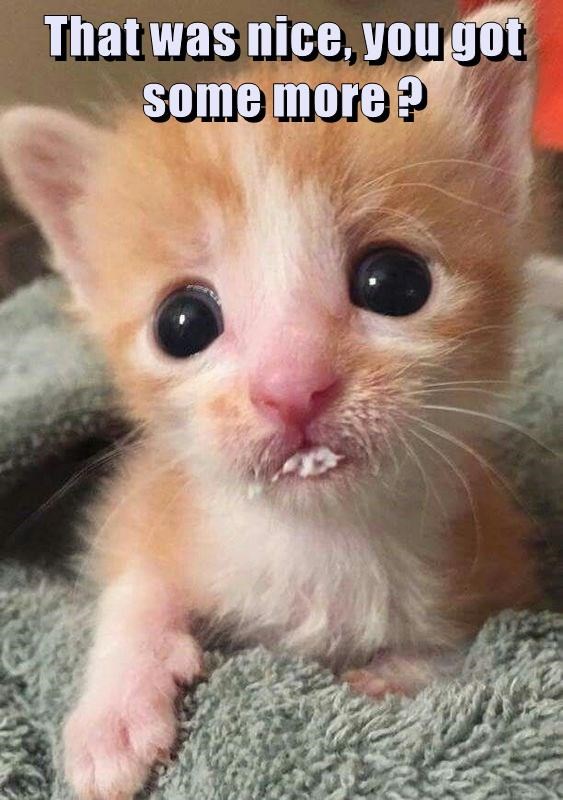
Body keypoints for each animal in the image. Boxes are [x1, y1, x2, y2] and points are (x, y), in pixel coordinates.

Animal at [0, 3, 541, 798]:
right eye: (182, 323)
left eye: (395, 283)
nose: (291, 387)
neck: (320, 544)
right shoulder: (146, 498)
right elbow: (134, 578)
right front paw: (115, 711)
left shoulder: (497, 564)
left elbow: (468, 651)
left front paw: (396, 675)